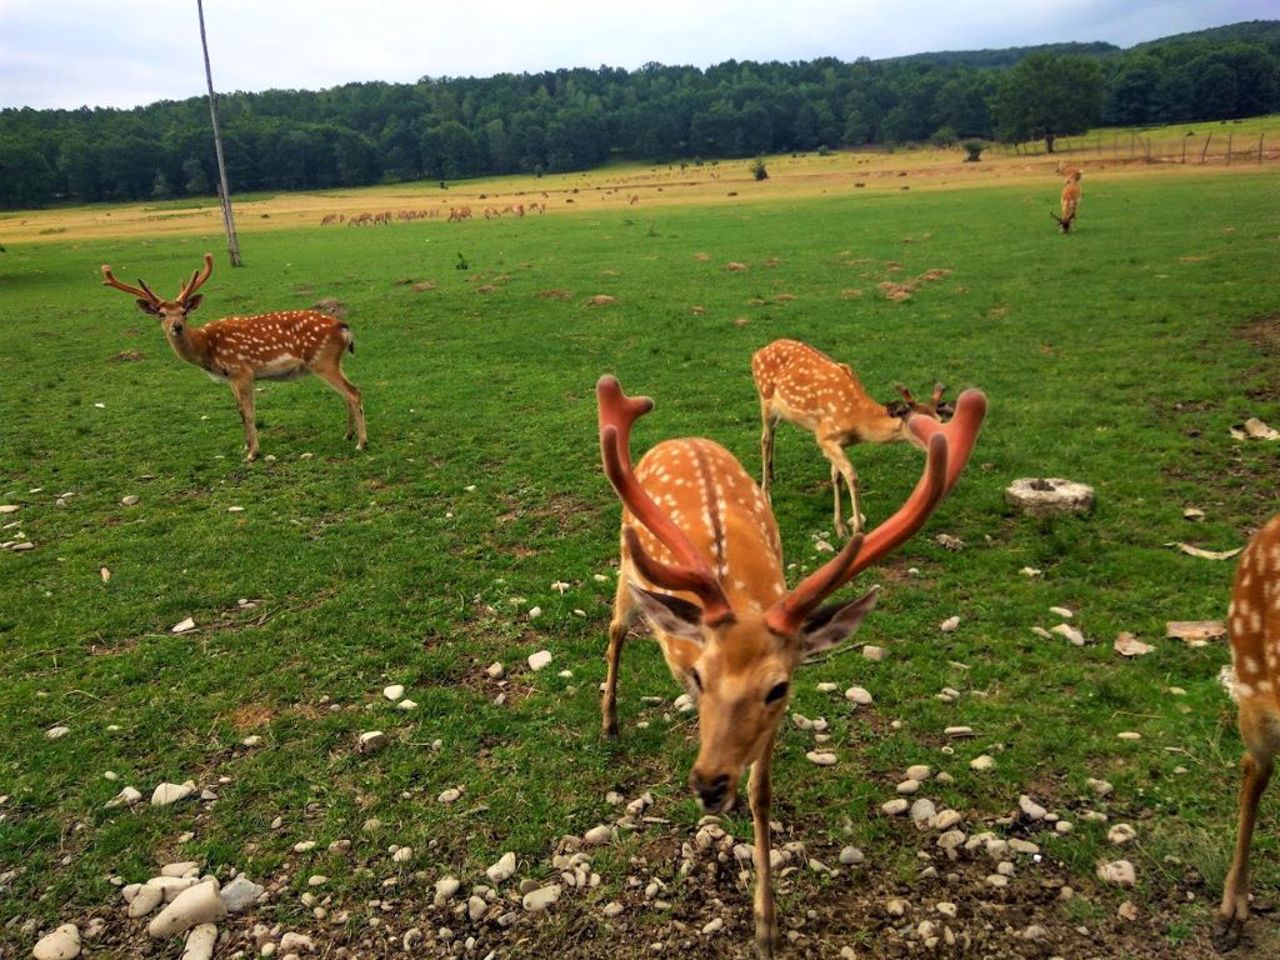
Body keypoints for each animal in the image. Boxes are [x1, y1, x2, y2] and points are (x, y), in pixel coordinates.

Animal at [100, 252, 366, 463]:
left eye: (184, 311)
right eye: (161, 314)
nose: (176, 326)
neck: (206, 348)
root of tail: (343, 327)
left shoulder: (242, 372)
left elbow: (248, 412)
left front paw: (253, 454)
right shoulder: (229, 378)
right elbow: (238, 411)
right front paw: (244, 447)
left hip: (322, 360)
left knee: (353, 392)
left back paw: (361, 443)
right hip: (331, 361)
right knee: (347, 393)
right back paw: (348, 434)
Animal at [593, 371, 983, 957]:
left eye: (777, 689)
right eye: (700, 676)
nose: (709, 784)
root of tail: (683, 437)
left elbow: (762, 794)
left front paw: (766, 924)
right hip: (624, 556)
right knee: (617, 629)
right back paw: (610, 720)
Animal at [747, 337, 952, 537]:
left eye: (941, 420)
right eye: (918, 426)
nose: (944, 443)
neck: (857, 421)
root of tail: (757, 352)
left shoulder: (839, 442)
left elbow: (837, 476)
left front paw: (839, 526)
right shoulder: (824, 436)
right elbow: (851, 476)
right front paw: (857, 529)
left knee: (772, 433)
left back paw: (772, 474)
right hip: (765, 398)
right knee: (765, 439)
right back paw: (766, 494)